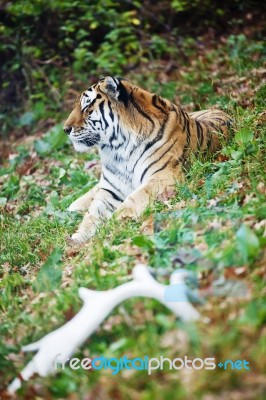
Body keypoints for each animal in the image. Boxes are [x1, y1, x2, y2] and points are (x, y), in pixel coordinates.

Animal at [64, 76, 231, 242]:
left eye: (87, 107)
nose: (65, 129)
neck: (118, 149)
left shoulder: (163, 178)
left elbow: (132, 200)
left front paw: (112, 225)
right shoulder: (110, 189)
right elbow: (92, 213)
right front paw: (80, 235)